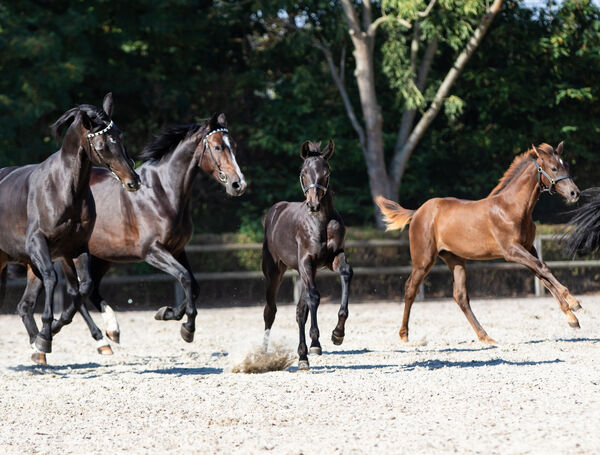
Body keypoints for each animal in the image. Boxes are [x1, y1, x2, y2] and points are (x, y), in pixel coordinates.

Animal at [0, 93, 140, 364]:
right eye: (102, 145)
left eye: (121, 135)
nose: (133, 181)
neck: (63, 189)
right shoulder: (38, 244)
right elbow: (53, 280)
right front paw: (46, 335)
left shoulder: (75, 248)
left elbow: (82, 288)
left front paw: (47, 336)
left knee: (25, 306)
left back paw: (36, 349)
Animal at [20, 114, 246, 356]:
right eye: (217, 146)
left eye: (234, 146)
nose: (238, 184)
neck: (162, 191)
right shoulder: (152, 251)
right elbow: (185, 278)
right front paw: (187, 328)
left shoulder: (177, 249)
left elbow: (194, 286)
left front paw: (166, 313)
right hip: (68, 256)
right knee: (75, 291)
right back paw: (75, 335)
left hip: (103, 256)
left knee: (90, 290)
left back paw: (111, 331)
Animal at [262, 141, 352, 372]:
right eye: (303, 173)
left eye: (326, 172)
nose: (313, 205)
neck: (322, 221)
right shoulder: (305, 262)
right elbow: (314, 298)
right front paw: (313, 345)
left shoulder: (333, 258)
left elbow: (346, 273)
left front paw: (337, 334)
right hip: (275, 271)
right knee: (270, 310)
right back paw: (265, 352)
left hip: (305, 272)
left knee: (299, 311)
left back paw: (306, 351)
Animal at [376, 144, 580, 344]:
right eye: (553, 168)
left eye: (566, 166)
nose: (574, 193)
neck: (512, 208)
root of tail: (417, 212)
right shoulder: (511, 251)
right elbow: (543, 268)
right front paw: (574, 303)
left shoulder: (528, 248)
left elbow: (542, 275)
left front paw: (572, 317)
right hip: (423, 260)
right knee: (411, 288)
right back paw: (404, 334)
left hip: (455, 260)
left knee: (460, 296)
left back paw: (485, 336)